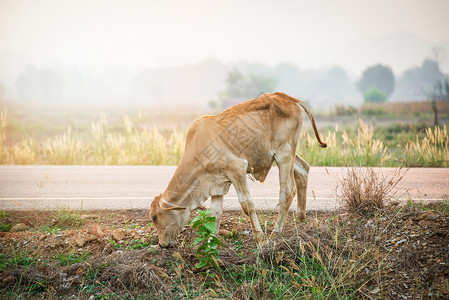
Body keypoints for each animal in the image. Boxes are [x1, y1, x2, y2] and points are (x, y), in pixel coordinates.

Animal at [150, 92, 326, 247]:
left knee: (288, 192)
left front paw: (261, 240)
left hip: (284, 154)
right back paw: (301, 219)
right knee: (303, 169)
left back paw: (276, 231)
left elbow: (247, 205)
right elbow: (215, 214)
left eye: (154, 217)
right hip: (287, 154)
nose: (162, 245)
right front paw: (211, 243)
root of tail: (290, 98)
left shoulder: (237, 169)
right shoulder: (217, 184)